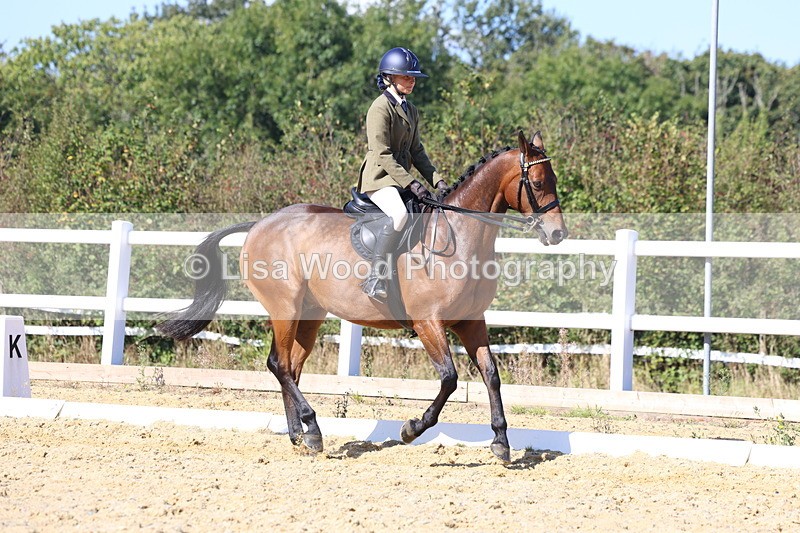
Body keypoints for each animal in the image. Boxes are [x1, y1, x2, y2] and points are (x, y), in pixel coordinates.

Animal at [157, 130, 567, 462]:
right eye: (537, 181)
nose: (558, 233)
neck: (459, 235)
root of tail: (261, 223)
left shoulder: (470, 321)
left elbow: (491, 376)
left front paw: (501, 442)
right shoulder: (428, 323)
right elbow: (449, 378)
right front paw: (411, 429)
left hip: (309, 314)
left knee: (290, 366)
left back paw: (300, 435)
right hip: (284, 307)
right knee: (278, 364)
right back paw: (313, 430)